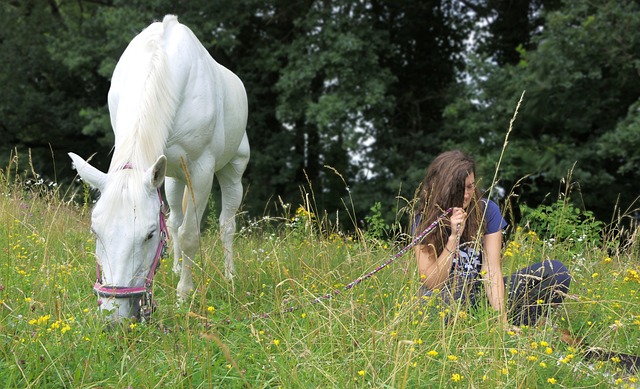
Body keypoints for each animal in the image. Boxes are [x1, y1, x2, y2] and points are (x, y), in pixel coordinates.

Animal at [70, 14, 249, 318]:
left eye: (150, 234)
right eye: (95, 232)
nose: (114, 316)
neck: (162, 63)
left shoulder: (201, 171)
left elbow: (190, 236)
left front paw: (183, 295)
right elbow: (177, 228)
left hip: (232, 171)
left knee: (226, 225)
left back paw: (230, 277)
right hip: (174, 179)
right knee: (176, 220)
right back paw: (176, 268)